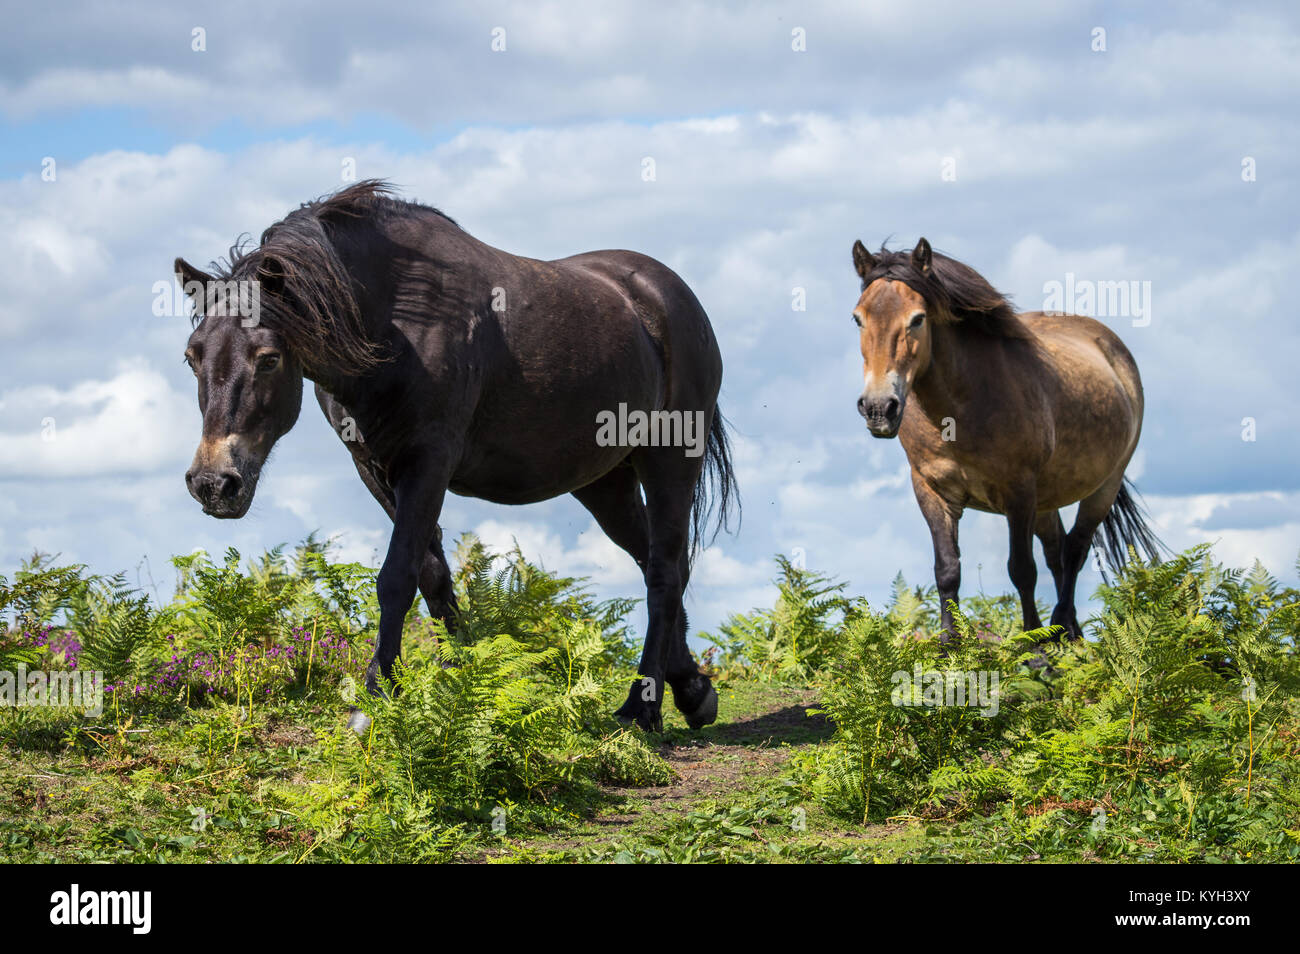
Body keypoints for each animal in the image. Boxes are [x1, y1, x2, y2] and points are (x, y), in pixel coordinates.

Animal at [175, 180, 738, 733]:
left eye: (268, 358)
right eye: (192, 356)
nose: (213, 484)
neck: (397, 321)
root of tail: (667, 296)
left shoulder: (428, 463)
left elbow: (397, 576)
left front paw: (375, 696)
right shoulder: (375, 470)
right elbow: (433, 577)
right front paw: (460, 680)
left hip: (670, 460)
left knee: (664, 572)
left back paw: (641, 708)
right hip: (604, 481)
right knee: (655, 561)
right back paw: (691, 690)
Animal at [848, 237, 1160, 641]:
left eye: (917, 319)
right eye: (858, 318)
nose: (878, 408)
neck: (959, 410)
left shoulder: (1019, 491)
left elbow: (1022, 570)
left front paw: (1034, 647)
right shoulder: (932, 490)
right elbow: (947, 570)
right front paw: (949, 643)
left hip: (1102, 487)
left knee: (1074, 550)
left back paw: (1060, 627)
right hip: (1046, 501)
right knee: (1056, 552)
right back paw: (1069, 634)